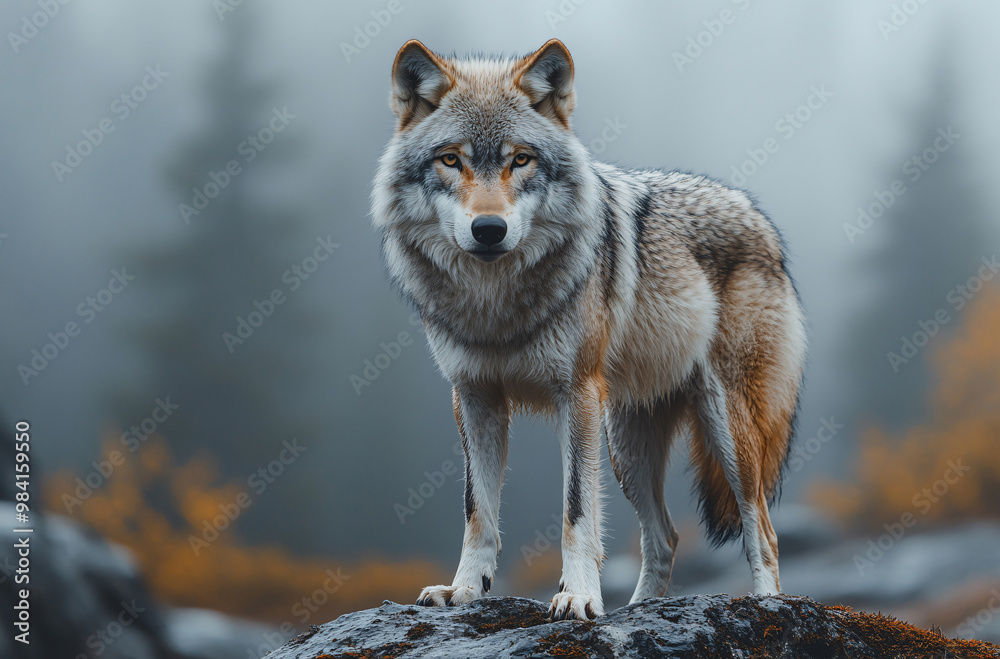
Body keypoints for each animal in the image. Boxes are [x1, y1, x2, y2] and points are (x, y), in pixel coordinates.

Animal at [371, 39, 807, 620]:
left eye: (521, 159)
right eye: (450, 159)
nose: (489, 229)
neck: (495, 302)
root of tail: (758, 217)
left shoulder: (575, 395)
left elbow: (576, 511)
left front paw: (578, 596)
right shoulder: (475, 398)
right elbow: (476, 510)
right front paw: (463, 589)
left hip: (723, 428)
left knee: (762, 529)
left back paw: (765, 607)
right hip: (626, 446)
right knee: (665, 536)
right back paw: (636, 611)